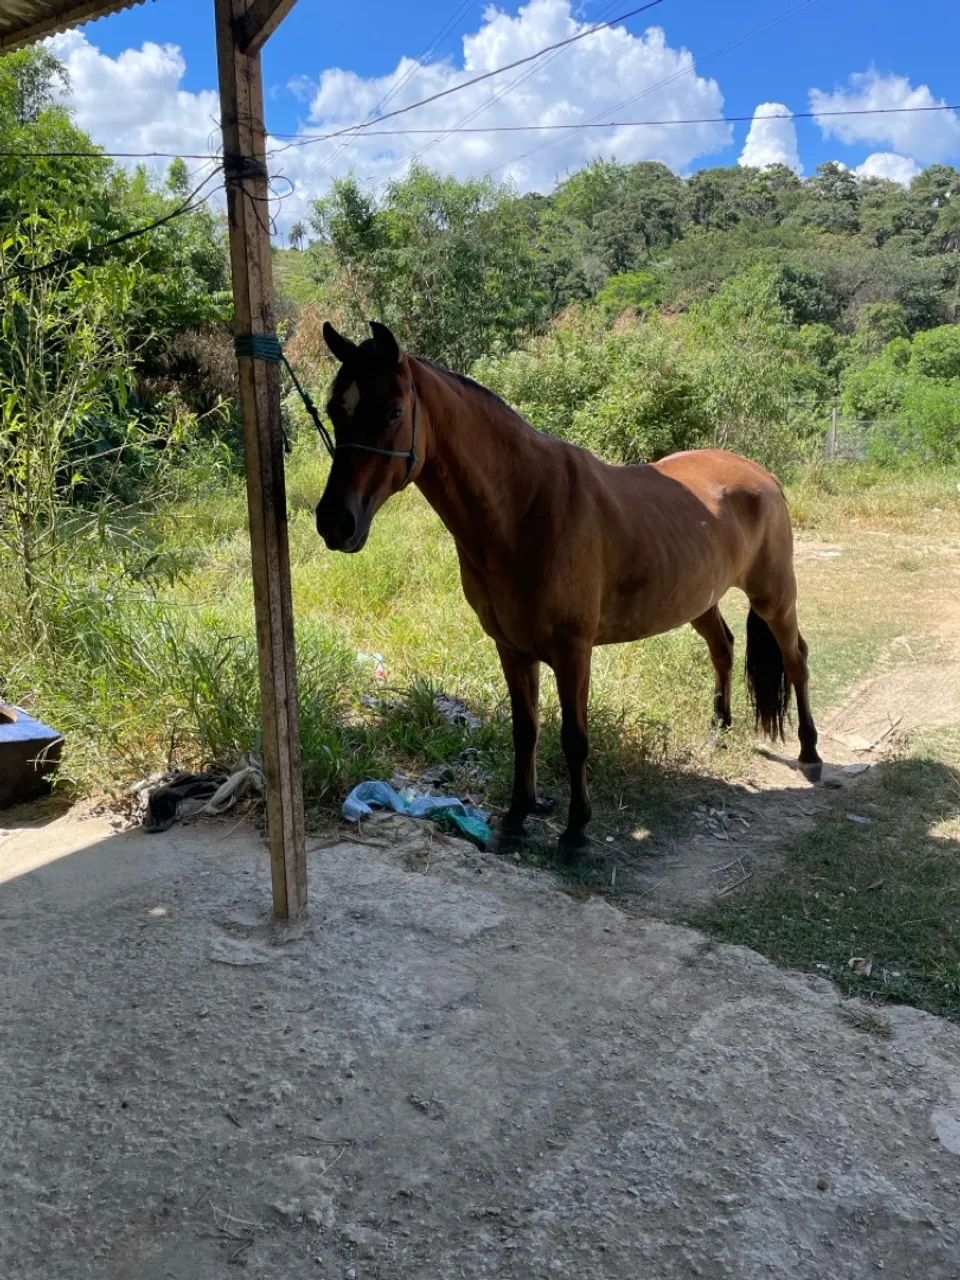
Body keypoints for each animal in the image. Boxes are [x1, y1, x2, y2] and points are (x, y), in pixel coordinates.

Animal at [315, 320, 822, 857]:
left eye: (393, 412)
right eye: (335, 409)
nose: (335, 522)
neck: (524, 508)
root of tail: (763, 476)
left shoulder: (573, 650)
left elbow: (574, 737)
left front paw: (576, 830)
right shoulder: (512, 648)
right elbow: (525, 731)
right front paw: (517, 815)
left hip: (774, 597)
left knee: (795, 659)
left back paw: (810, 751)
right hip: (699, 598)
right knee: (722, 648)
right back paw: (719, 728)